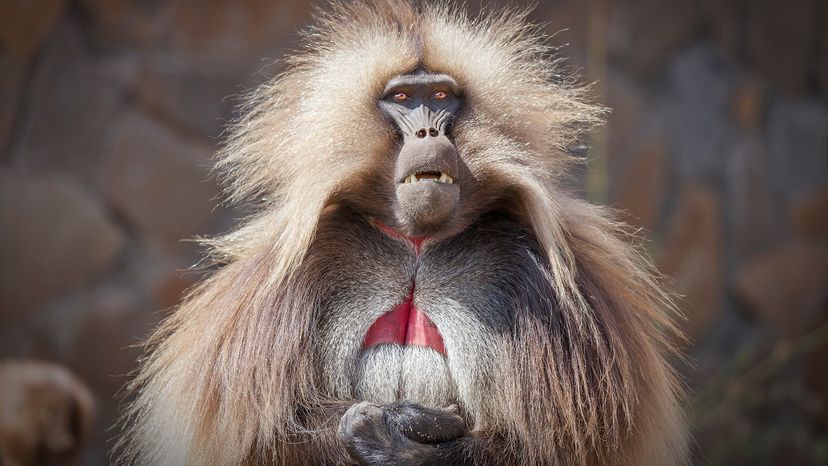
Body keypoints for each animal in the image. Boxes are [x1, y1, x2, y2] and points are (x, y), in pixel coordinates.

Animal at [116, 1, 688, 465]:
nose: (428, 131)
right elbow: (261, 443)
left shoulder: (541, 280)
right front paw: (384, 429)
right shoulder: (290, 280)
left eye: (440, 96)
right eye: (403, 99)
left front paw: (402, 441)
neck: (417, 247)